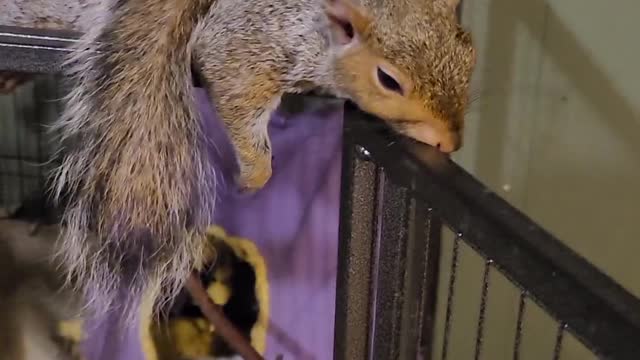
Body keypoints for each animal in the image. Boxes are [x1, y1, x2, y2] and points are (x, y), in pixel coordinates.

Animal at [3, 0, 476, 324]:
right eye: (388, 80)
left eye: (469, 54)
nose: (449, 142)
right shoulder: (253, 42)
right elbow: (235, 89)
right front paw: (253, 175)